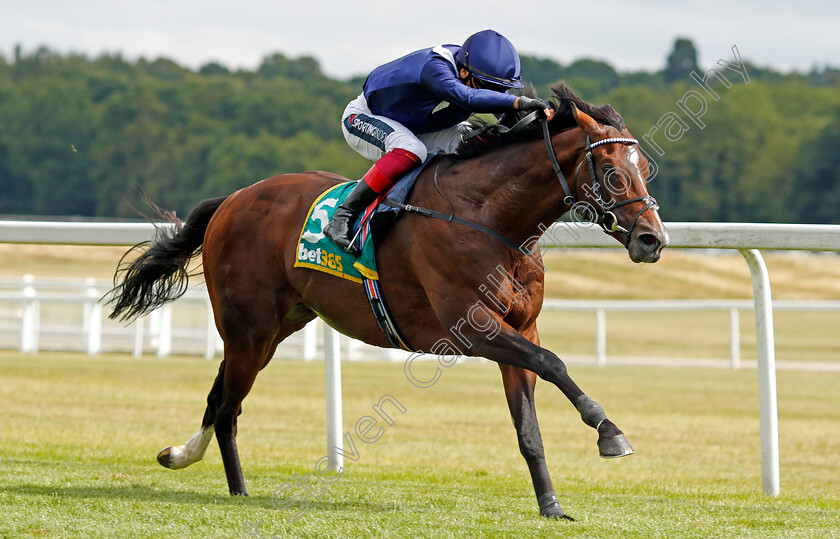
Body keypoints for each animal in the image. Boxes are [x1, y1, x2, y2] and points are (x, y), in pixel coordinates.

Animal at [106, 83, 668, 520]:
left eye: (644, 166)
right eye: (613, 169)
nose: (652, 239)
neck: (489, 216)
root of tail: (233, 199)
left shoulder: (519, 328)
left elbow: (528, 422)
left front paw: (551, 505)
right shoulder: (474, 327)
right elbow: (554, 363)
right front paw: (610, 432)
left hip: (272, 329)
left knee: (219, 395)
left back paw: (181, 456)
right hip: (247, 328)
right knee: (227, 406)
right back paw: (237, 490)